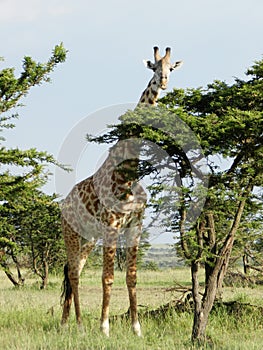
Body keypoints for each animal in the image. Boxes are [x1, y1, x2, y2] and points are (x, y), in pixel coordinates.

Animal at [60, 45, 183, 336]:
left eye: (171, 68)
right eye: (154, 67)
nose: (162, 82)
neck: (128, 172)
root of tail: (63, 203)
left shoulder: (135, 225)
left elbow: (132, 277)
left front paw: (137, 328)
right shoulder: (111, 225)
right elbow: (108, 277)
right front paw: (104, 327)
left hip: (89, 238)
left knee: (75, 269)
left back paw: (66, 322)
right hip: (70, 233)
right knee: (73, 273)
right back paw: (79, 325)